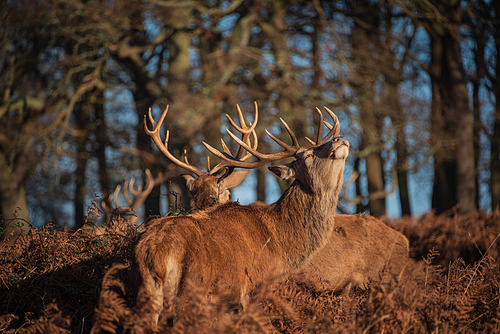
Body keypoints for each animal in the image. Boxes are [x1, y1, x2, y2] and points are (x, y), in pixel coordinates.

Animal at [135, 102, 350, 326]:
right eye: (306, 156)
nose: (339, 138)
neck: (280, 244)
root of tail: (154, 251)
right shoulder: (255, 291)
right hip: (192, 289)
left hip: (148, 292)